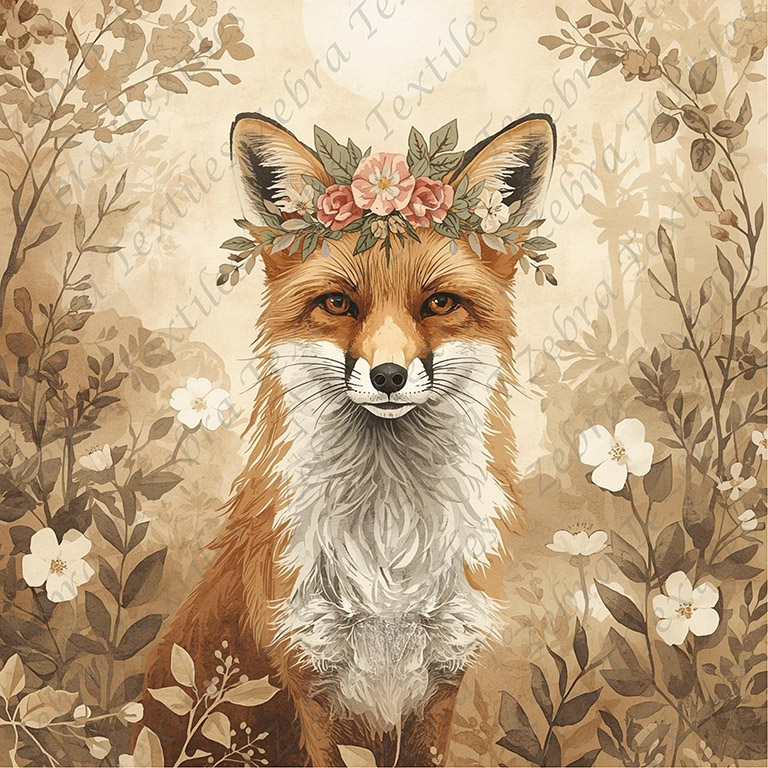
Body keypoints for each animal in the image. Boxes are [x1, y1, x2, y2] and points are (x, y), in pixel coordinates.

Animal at [140, 111, 556, 767]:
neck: (389, 537)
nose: (388, 377)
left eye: (439, 302)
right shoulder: (312, 680)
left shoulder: (440, 680)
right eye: (338, 302)